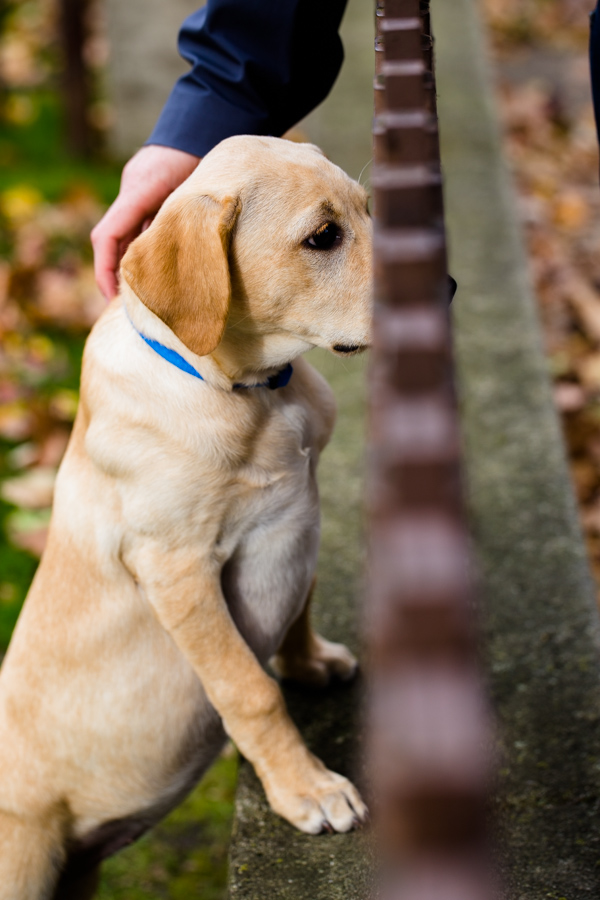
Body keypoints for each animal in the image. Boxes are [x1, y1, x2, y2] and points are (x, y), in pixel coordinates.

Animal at [0, 135, 370, 900]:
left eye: (368, 209)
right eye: (323, 237)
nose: (445, 290)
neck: (252, 393)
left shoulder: (302, 507)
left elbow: (302, 601)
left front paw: (309, 662)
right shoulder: (177, 567)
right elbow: (249, 690)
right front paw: (308, 788)